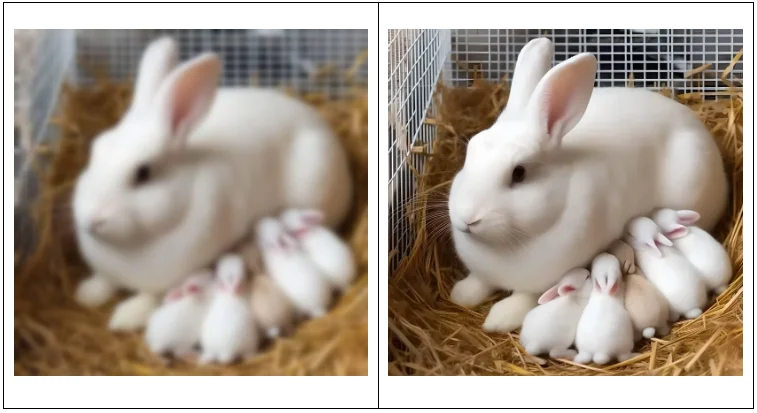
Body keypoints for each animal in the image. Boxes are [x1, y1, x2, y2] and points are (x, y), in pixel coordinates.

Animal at [71, 35, 352, 332]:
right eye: (95, 150)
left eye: (143, 173)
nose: (91, 219)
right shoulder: (108, 270)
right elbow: (103, 280)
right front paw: (87, 294)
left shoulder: (173, 277)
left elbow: (150, 297)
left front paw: (124, 316)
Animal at [447, 36, 727, 334]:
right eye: (470, 151)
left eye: (519, 173)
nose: (467, 218)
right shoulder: (482, 272)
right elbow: (478, 282)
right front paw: (461, 294)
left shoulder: (545, 280)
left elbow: (525, 298)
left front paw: (498, 318)